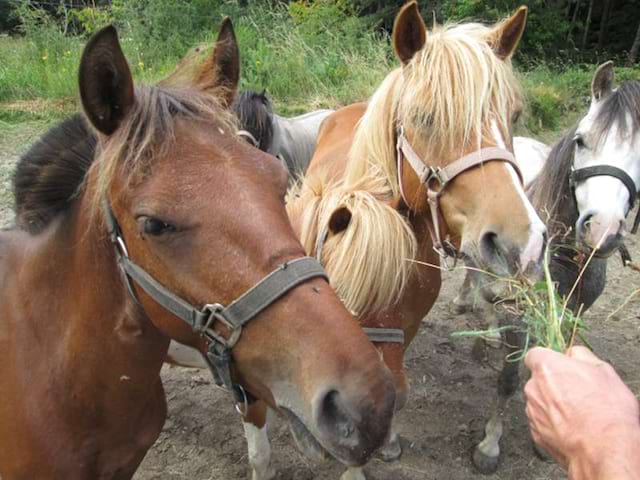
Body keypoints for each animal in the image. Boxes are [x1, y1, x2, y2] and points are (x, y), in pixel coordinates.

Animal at [238, 1, 548, 478]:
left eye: (513, 116)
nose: (521, 244)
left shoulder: (404, 328)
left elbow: (393, 393)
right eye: (424, 117)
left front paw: (389, 442)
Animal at [452, 60, 640, 468]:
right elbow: (508, 377)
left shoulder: (574, 310)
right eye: (581, 140)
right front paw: (489, 445)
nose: (602, 229)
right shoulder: (519, 311)